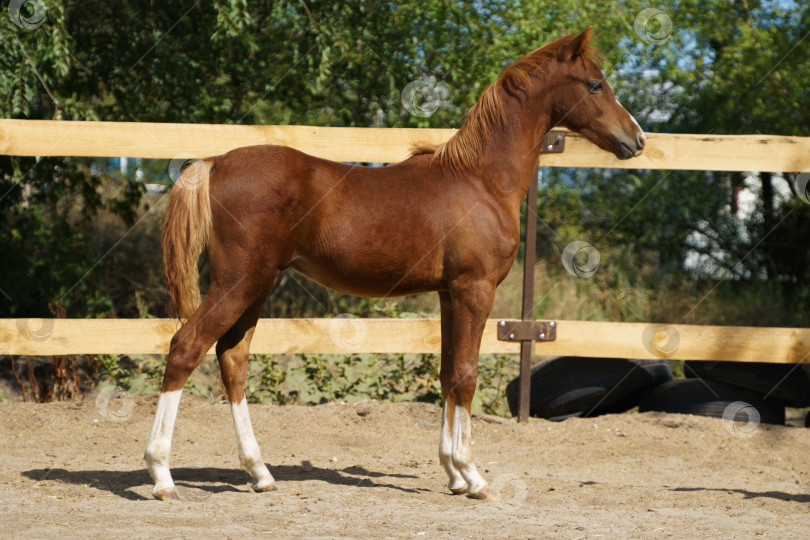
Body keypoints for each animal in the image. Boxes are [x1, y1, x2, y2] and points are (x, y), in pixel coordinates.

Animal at [145, 27, 644, 502]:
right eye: (595, 84)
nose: (636, 139)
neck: (480, 180)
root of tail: (215, 162)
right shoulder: (475, 289)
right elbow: (466, 375)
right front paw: (473, 476)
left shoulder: (448, 294)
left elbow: (447, 372)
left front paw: (452, 474)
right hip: (239, 282)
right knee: (186, 347)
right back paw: (162, 476)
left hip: (257, 285)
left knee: (233, 359)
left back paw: (260, 473)